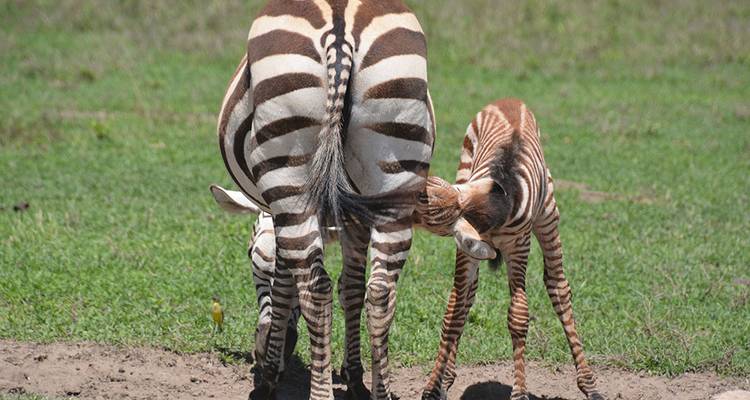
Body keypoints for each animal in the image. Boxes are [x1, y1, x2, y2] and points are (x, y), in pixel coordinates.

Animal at [216, 1, 435, 399]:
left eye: (249, 258)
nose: (260, 348)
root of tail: (340, 22)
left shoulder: (277, 210)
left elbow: (285, 285)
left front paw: (268, 375)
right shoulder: (355, 214)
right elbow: (352, 287)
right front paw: (356, 376)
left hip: (288, 169)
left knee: (316, 288)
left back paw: (318, 391)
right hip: (395, 164)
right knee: (381, 291)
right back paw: (380, 390)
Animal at [415, 99, 604, 400]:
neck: (495, 210)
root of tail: (509, 101)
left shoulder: (518, 246)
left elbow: (518, 316)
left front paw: (519, 392)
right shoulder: (468, 248)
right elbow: (453, 312)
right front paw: (434, 387)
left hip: (548, 215)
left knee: (558, 287)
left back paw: (590, 385)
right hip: (466, 166)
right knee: (467, 296)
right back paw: (448, 377)